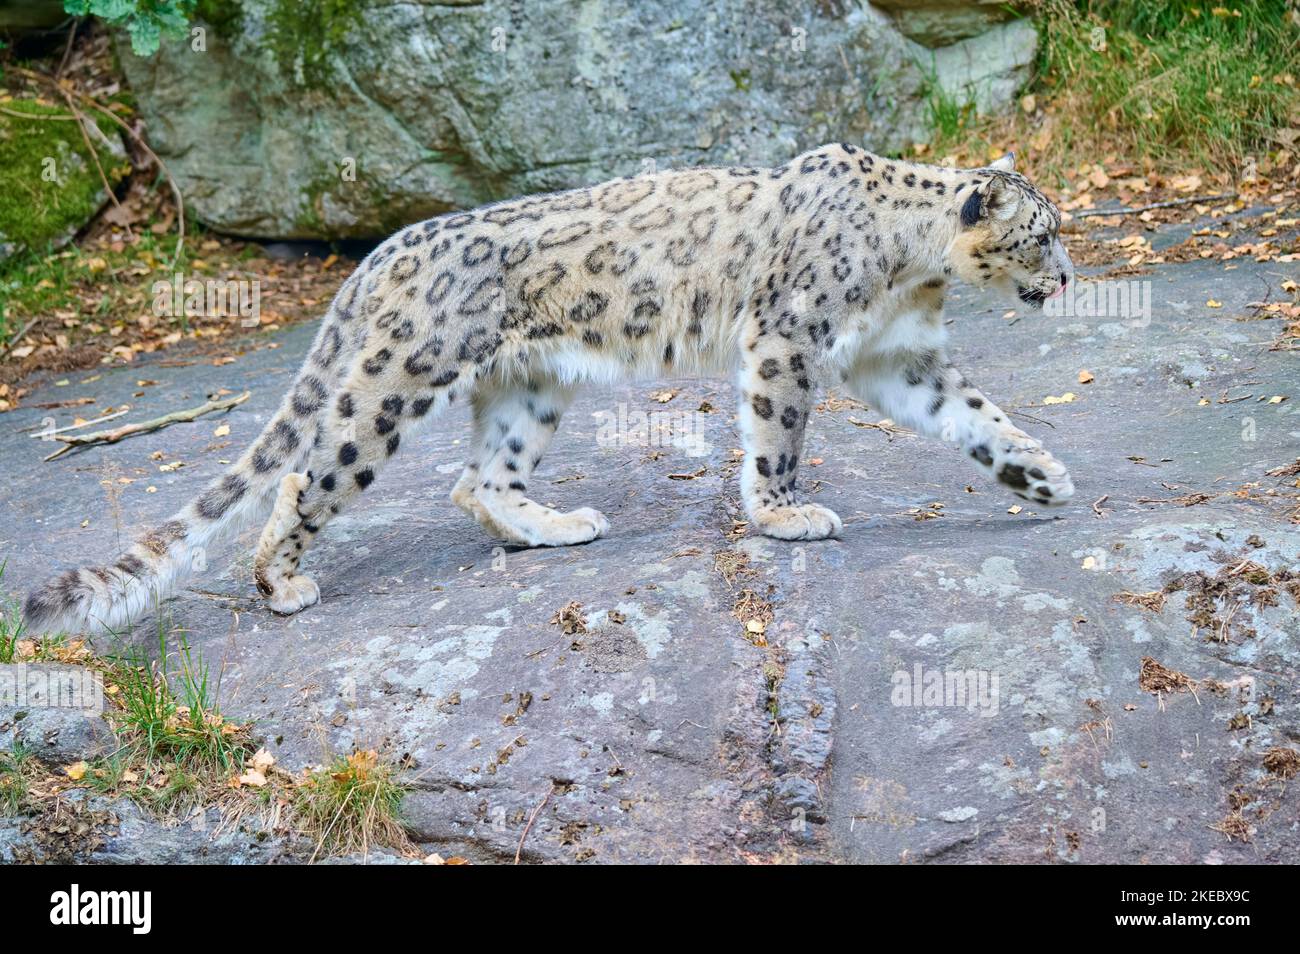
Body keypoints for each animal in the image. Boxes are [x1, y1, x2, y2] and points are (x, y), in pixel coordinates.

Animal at [24, 143, 1075, 635]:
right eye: (1040, 235)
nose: (1068, 279)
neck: (914, 270)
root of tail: (383, 249)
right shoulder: (788, 339)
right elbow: (778, 434)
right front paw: (785, 515)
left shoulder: (901, 358)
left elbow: (975, 416)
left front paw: (1040, 475)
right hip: (396, 384)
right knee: (311, 474)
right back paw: (284, 582)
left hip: (526, 387)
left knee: (479, 477)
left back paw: (558, 527)